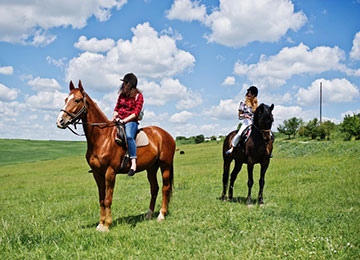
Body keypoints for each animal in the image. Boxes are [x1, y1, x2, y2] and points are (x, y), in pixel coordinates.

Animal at [56, 81, 176, 232]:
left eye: (77, 100)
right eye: (66, 99)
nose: (60, 121)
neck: (102, 138)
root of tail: (166, 134)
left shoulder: (110, 172)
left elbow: (108, 199)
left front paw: (107, 225)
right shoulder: (97, 173)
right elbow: (101, 199)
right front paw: (100, 224)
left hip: (165, 166)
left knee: (165, 188)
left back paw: (161, 215)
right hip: (151, 168)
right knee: (154, 188)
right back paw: (149, 215)